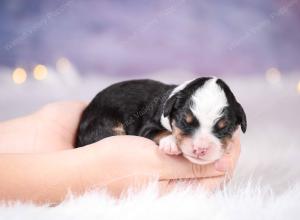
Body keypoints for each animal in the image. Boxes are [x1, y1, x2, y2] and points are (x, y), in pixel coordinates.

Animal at [75, 76, 246, 164]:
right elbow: (159, 131)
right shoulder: (147, 125)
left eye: (224, 128)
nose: (200, 149)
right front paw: (171, 142)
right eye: (185, 122)